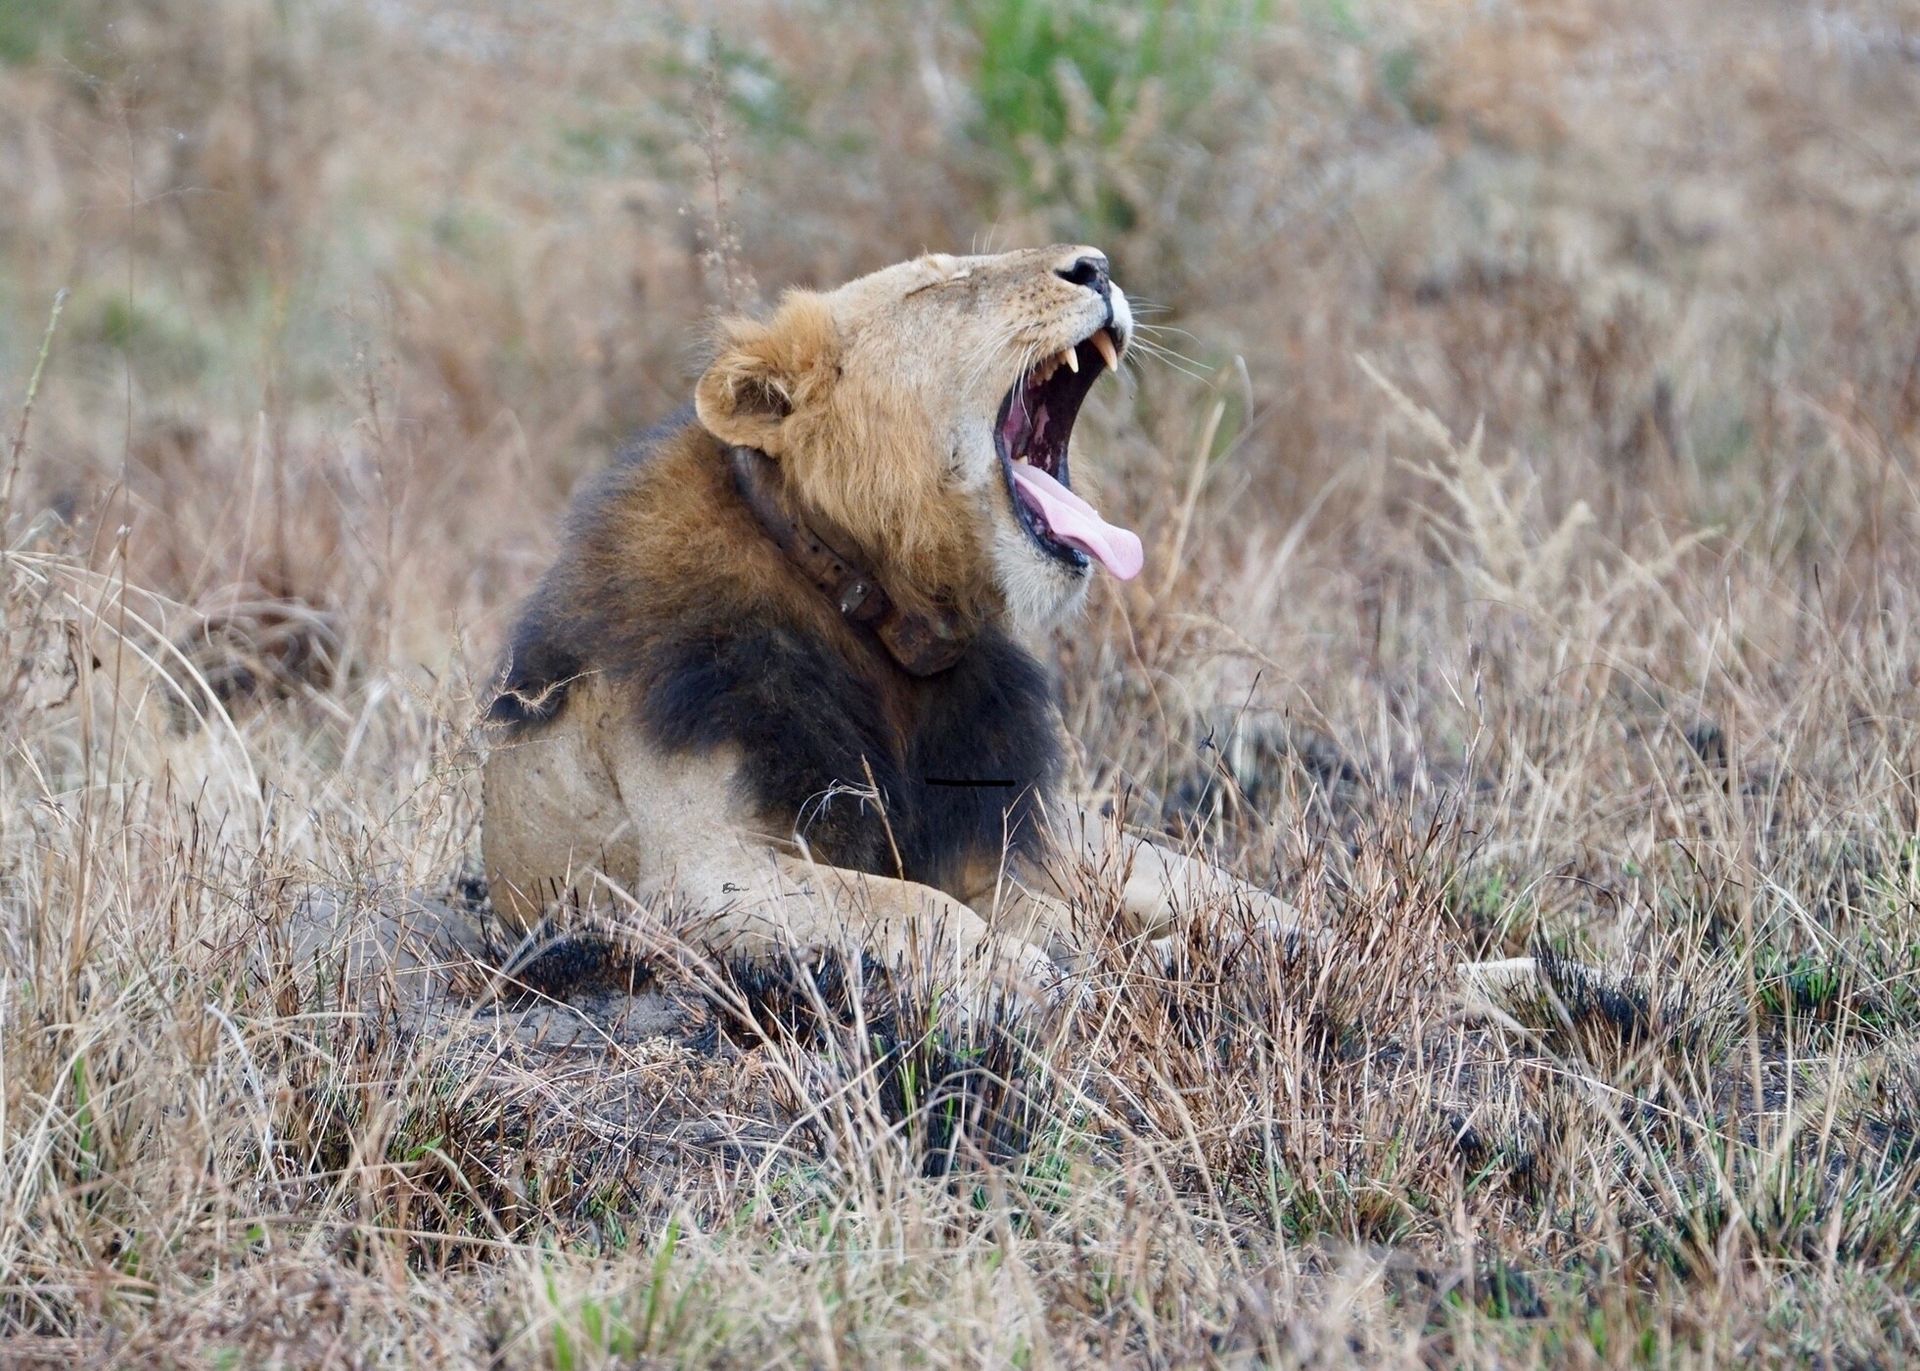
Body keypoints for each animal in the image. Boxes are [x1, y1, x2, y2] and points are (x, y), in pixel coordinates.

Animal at [480, 245, 1534, 1014]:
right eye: (942, 284)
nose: (1095, 264)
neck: (887, 624)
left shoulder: (1003, 844)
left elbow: (1001, 911)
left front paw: (1113, 973)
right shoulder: (699, 875)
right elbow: (917, 910)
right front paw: (1071, 985)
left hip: (1109, 844)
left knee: (1286, 921)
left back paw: (1517, 987)